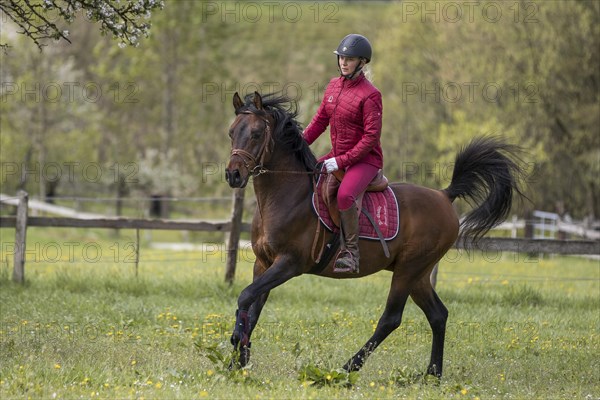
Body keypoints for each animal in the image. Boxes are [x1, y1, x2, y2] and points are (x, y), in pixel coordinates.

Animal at [225, 91, 524, 378]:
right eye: (231, 132)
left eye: (256, 133)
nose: (233, 175)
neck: (287, 196)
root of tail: (444, 195)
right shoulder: (263, 263)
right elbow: (252, 307)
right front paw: (238, 360)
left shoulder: (289, 264)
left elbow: (244, 297)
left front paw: (237, 348)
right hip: (419, 275)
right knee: (438, 315)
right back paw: (433, 374)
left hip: (408, 271)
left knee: (391, 319)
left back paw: (347, 368)